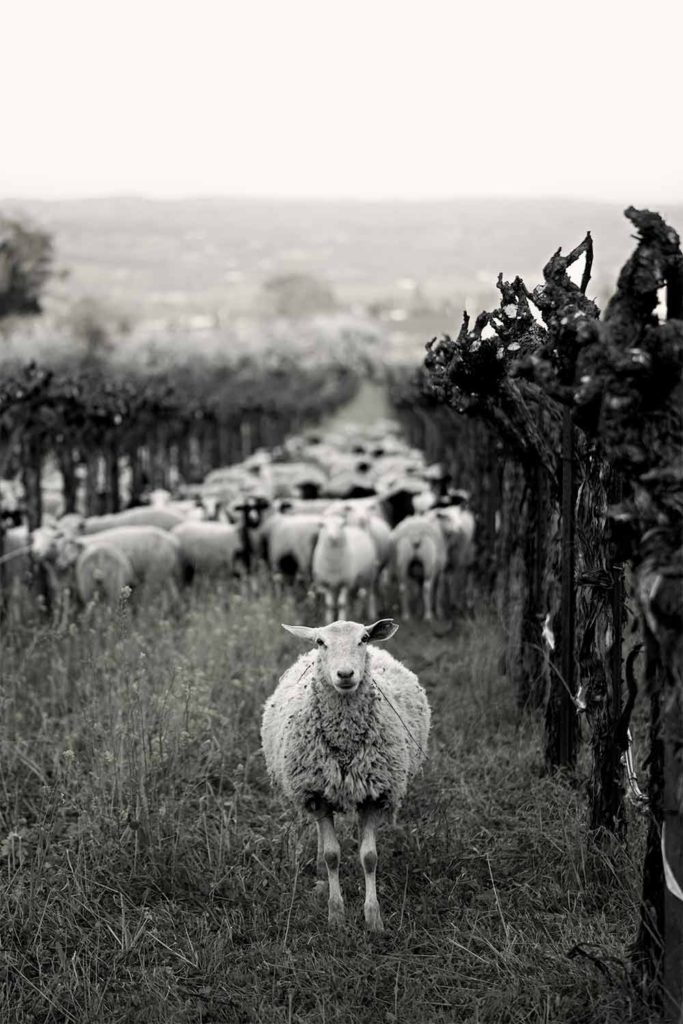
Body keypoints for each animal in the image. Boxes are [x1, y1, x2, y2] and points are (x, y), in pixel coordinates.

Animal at [261, 618, 430, 931]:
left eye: (363, 639)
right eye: (321, 642)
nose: (345, 674)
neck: (344, 738)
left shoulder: (375, 795)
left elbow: (369, 857)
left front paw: (373, 918)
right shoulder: (317, 794)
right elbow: (332, 855)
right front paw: (336, 914)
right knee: (320, 835)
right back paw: (319, 874)